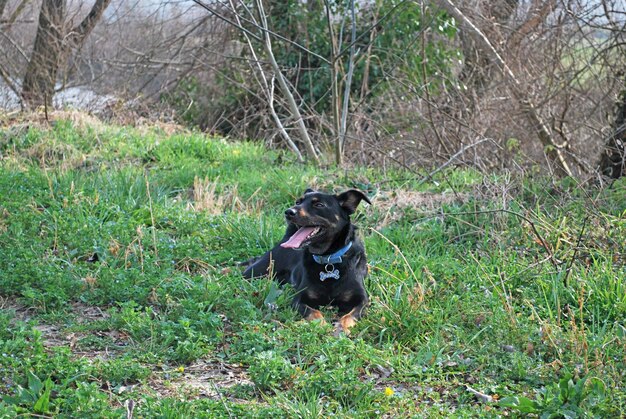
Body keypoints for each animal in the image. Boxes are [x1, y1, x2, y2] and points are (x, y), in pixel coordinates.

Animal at [243, 189, 370, 334]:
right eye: (298, 202)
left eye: (319, 205)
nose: (288, 212)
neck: (329, 260)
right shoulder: (299, 299)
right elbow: (314, 312)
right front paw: (322, 325)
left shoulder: (362, 300)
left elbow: (350, 315)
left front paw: (341, 327)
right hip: (258, 272)